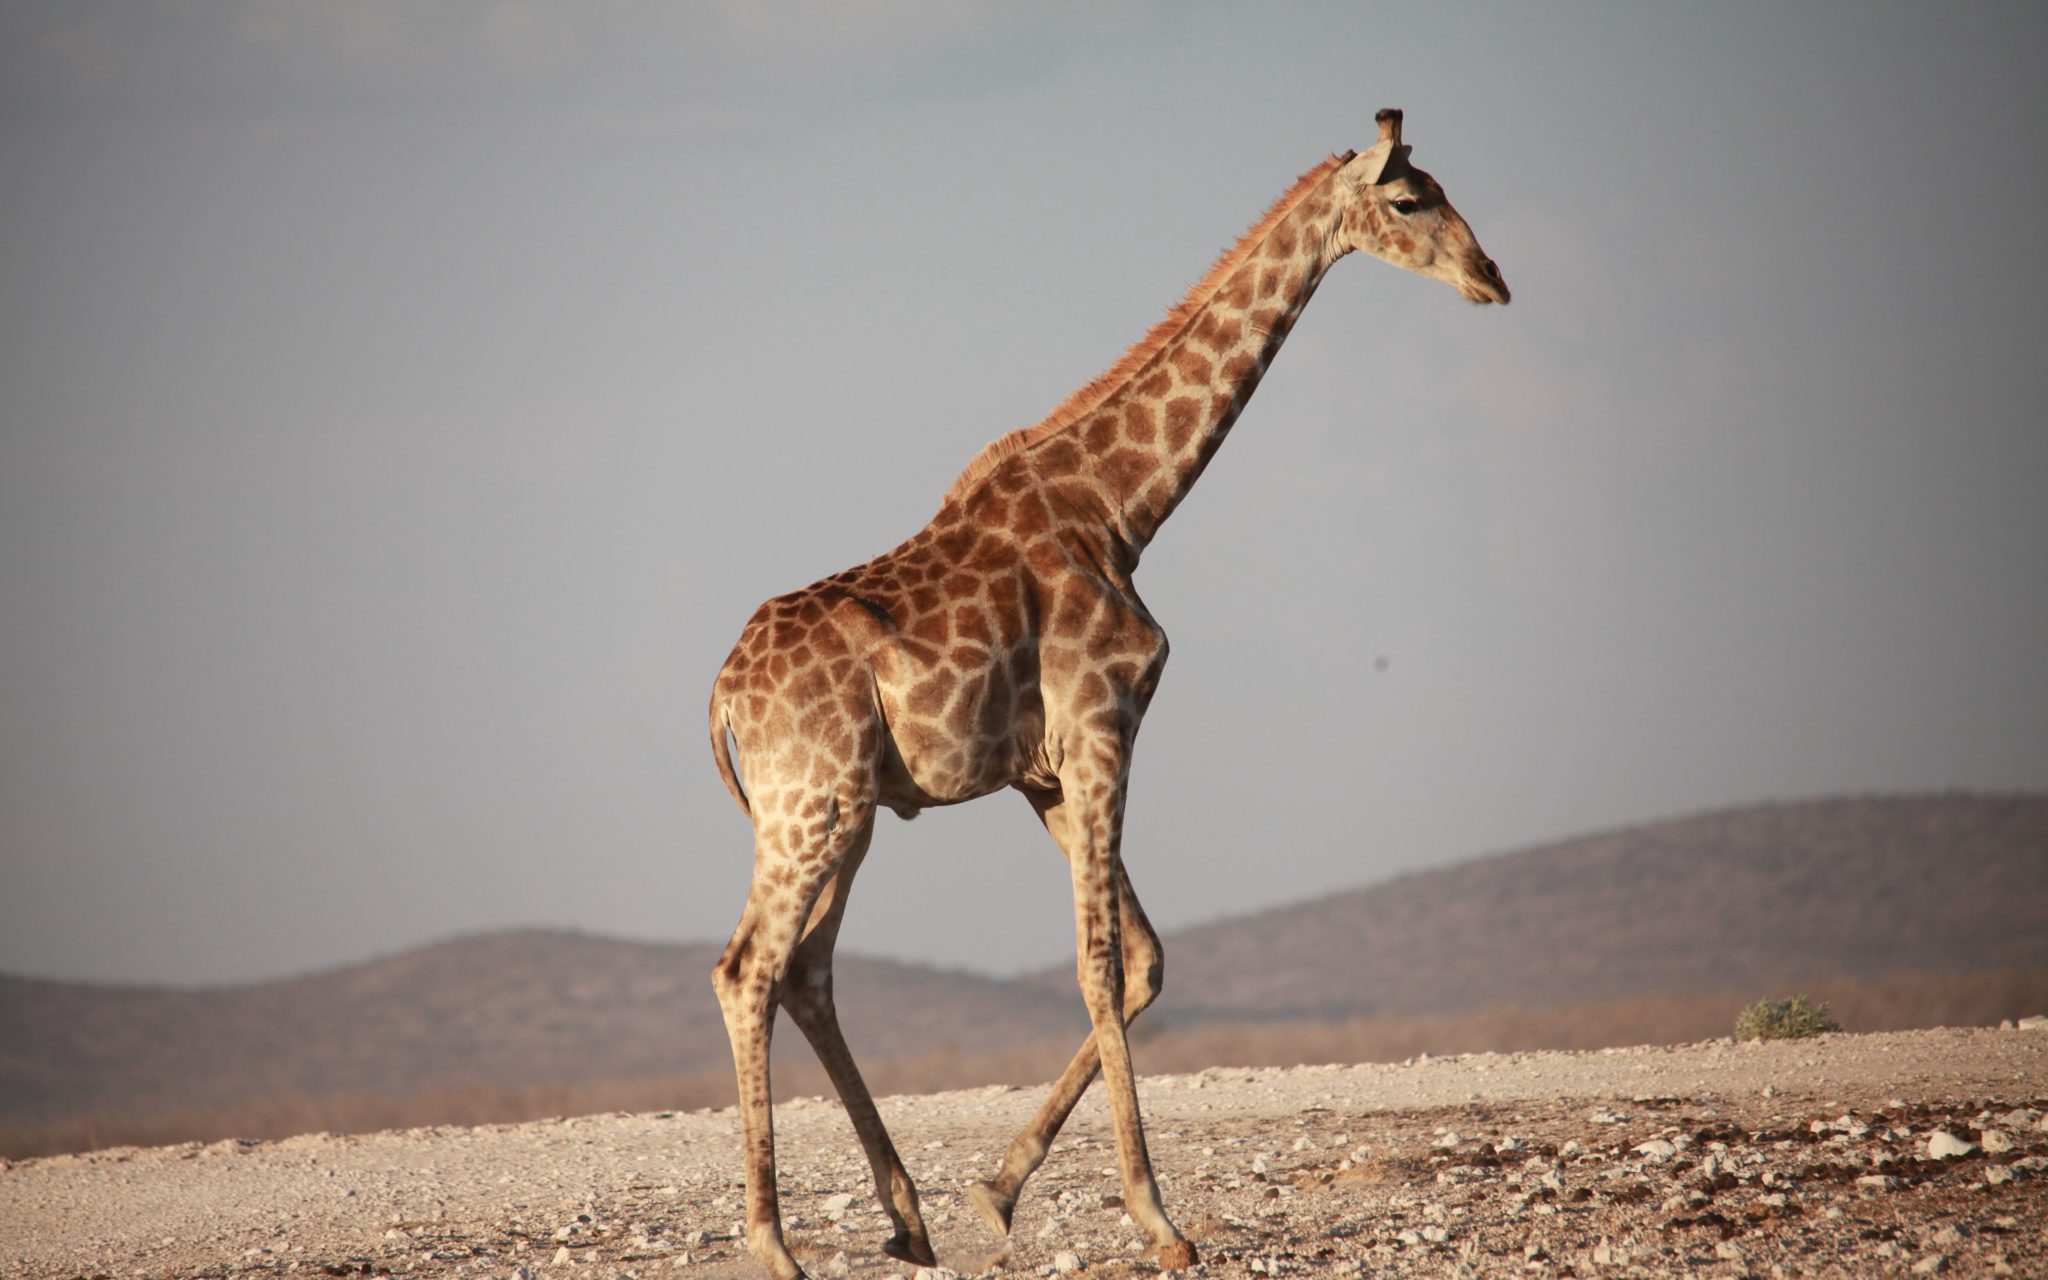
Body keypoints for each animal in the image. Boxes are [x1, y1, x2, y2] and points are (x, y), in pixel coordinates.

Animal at [708, 109, 1507, 1277]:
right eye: (1412, 200)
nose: (1491, 278)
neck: (1122, 507)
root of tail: (721, 695)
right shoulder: (1101, 724)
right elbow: (1099, 965)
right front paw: (1157, 1218)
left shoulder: (1044, 772)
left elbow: (1143, 964)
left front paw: (995, 1189)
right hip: (811, 807)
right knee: (747, 969)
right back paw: (773, 1243)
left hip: (844, 812)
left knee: (806, 971)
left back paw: (907, 1218)